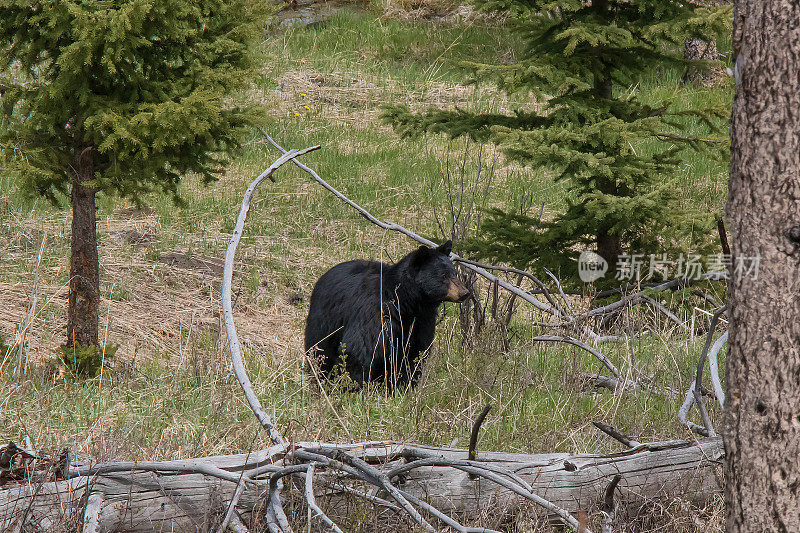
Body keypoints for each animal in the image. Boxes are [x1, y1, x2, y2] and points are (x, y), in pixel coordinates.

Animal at [304, 240, 468, 386]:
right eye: (443, 276)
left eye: (454, 273)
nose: (465, 293)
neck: (404, 302)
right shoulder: (376, 315)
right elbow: (360, 350)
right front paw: (353, 387)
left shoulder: (421, 323)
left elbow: (414, 355)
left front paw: (401, 386)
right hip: (324, 322)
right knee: (321, 351)